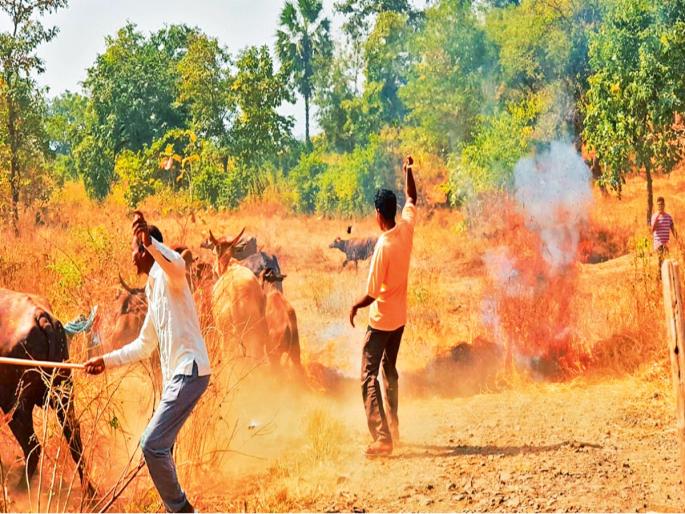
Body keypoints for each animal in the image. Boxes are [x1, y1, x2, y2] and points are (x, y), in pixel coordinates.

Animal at [0, 288, 94, 496]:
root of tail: (41, 316)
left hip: (16, 407)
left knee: (33, 447)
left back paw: (21, 490)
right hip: (64, 397)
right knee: (74, 439)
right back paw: (90, 493)